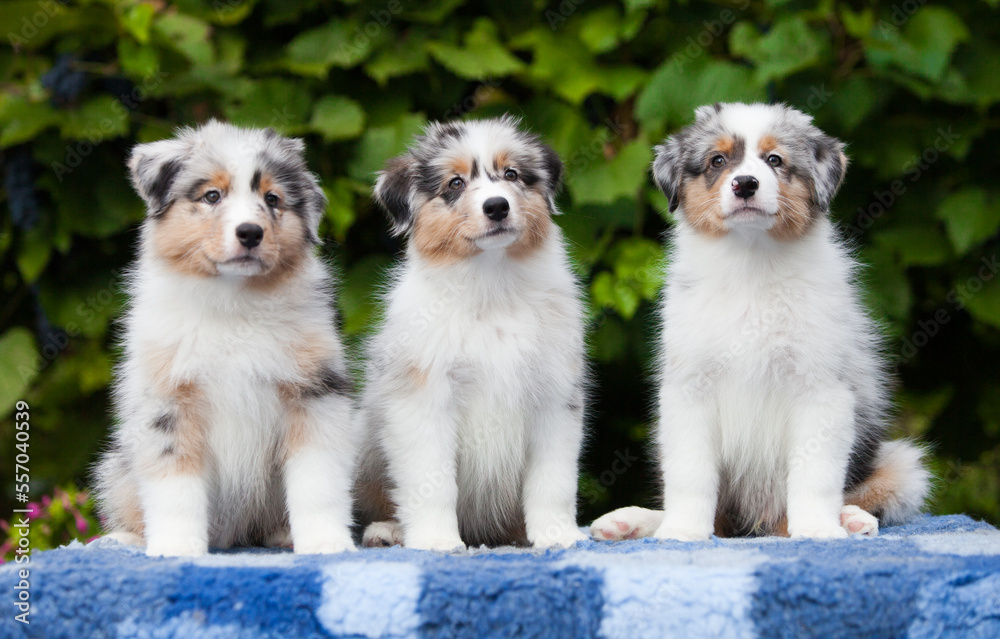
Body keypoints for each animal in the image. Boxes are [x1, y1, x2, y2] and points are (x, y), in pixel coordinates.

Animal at [94, 122, 358, 556]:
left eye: (272, 198)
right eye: (212, 196)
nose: (250, 233)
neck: (234, 301)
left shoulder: (314, 394)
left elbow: (317, 480)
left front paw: (326, 542)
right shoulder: (168, 404)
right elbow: (175, 486)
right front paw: (176, 547)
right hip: (116, 466)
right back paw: (122, 537)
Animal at [354, 116, 584, 552]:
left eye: (511, 174)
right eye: (455, 183)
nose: (497, 206)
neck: (490, 285)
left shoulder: (554, 395)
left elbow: (553, 479)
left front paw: (556, 534)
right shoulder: (424, 397)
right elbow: (433, 480)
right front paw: (436, 540)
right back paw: (388, 531)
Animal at [592, 102, 928, 544]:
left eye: (775, 160)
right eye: (717, 161)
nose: (746, 184)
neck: (751, 261)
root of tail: (754, 522)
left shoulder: (822, 389)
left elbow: (814, 473)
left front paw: (817, 529)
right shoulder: (689, 388)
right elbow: (690, 473)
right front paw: (682, 531)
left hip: (903, 464)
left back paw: (849, 519)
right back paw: (632, 522)